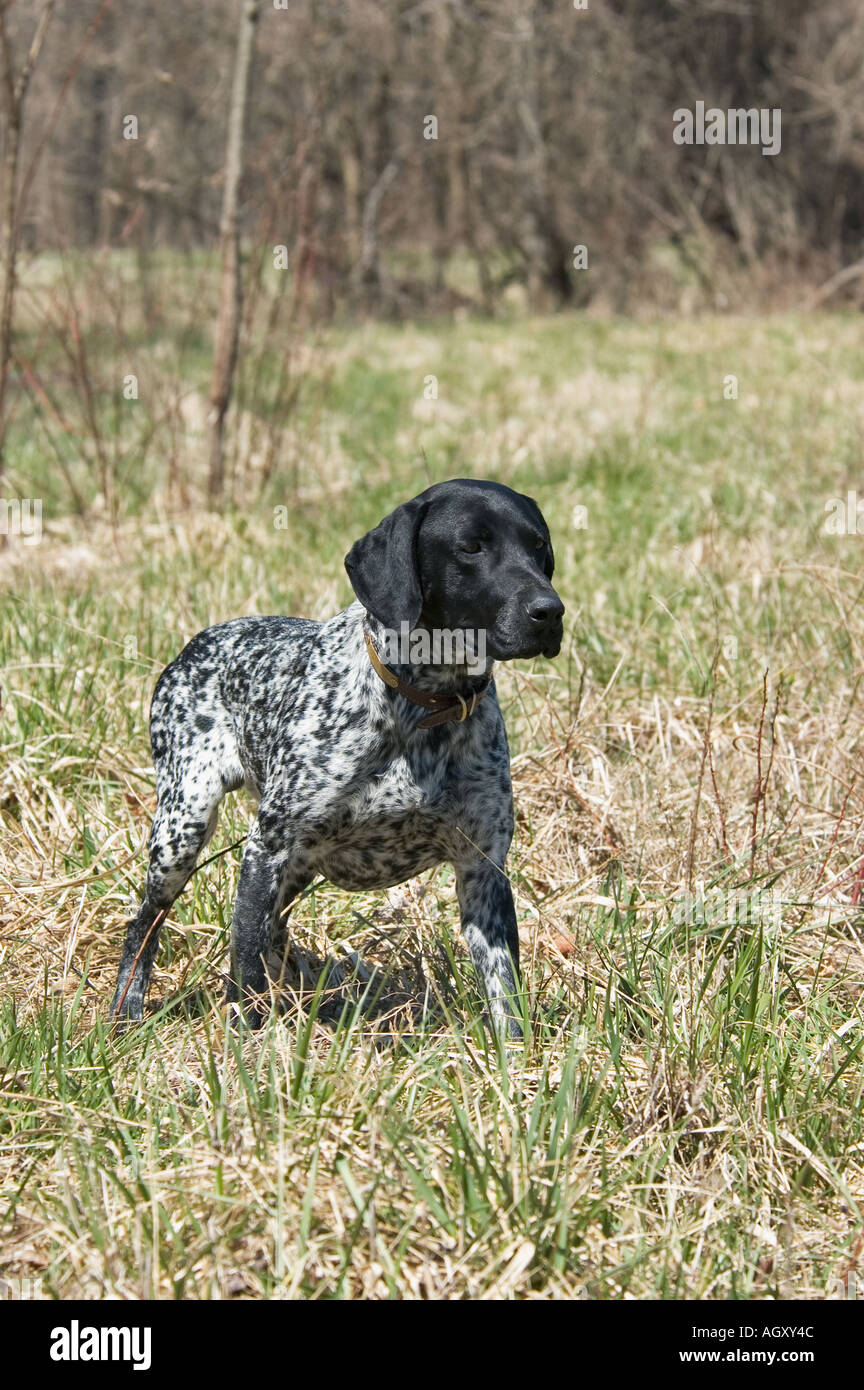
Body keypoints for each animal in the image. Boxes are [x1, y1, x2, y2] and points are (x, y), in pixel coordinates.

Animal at [111, 478, 566, 1034]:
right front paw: (250, 1041)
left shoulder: (484, 871)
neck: (424, 707)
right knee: (146, 925)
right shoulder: (267, 849)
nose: (549, 611)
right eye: (471, 547)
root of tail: (194, 645)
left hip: (294, 863)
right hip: (183, 831)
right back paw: (126, 1010)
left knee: (273, 931)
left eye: (538, 545)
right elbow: (244, 960)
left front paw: (515, 1055)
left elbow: (505, 993)